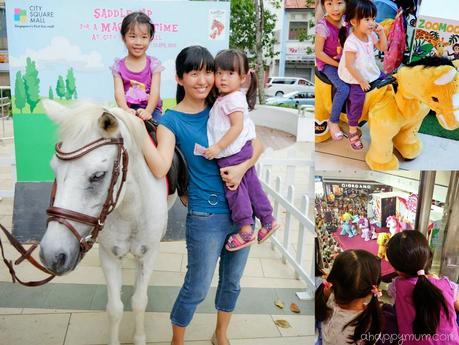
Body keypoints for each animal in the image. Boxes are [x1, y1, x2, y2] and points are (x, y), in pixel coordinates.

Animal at [38, 99, 172, 344]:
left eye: (98, 176)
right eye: (54, 169)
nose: (52, 256)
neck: (129, 209)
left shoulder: (148, 254)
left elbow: (139, 302)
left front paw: (139, 338)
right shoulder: (108, 255)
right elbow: (115, 308)